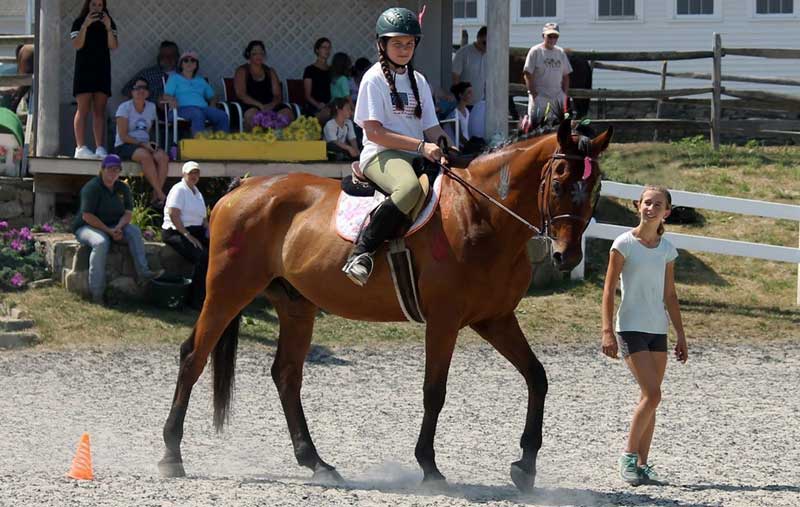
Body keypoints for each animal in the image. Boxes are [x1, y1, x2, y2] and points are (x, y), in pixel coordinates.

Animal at [161, 119, 612, 492]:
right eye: (559, 184)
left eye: (595, 189)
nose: (567, 257)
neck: (480, 213)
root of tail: (241, 188)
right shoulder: (445, 321)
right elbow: (434, 391)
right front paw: (429, 466)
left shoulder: (495, 319)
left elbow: (537, 377)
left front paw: (526, 465)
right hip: (227, 292)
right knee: (193, 357)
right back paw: (171, 455)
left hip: (295, 306)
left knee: (286, 375)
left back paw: (317, 463)